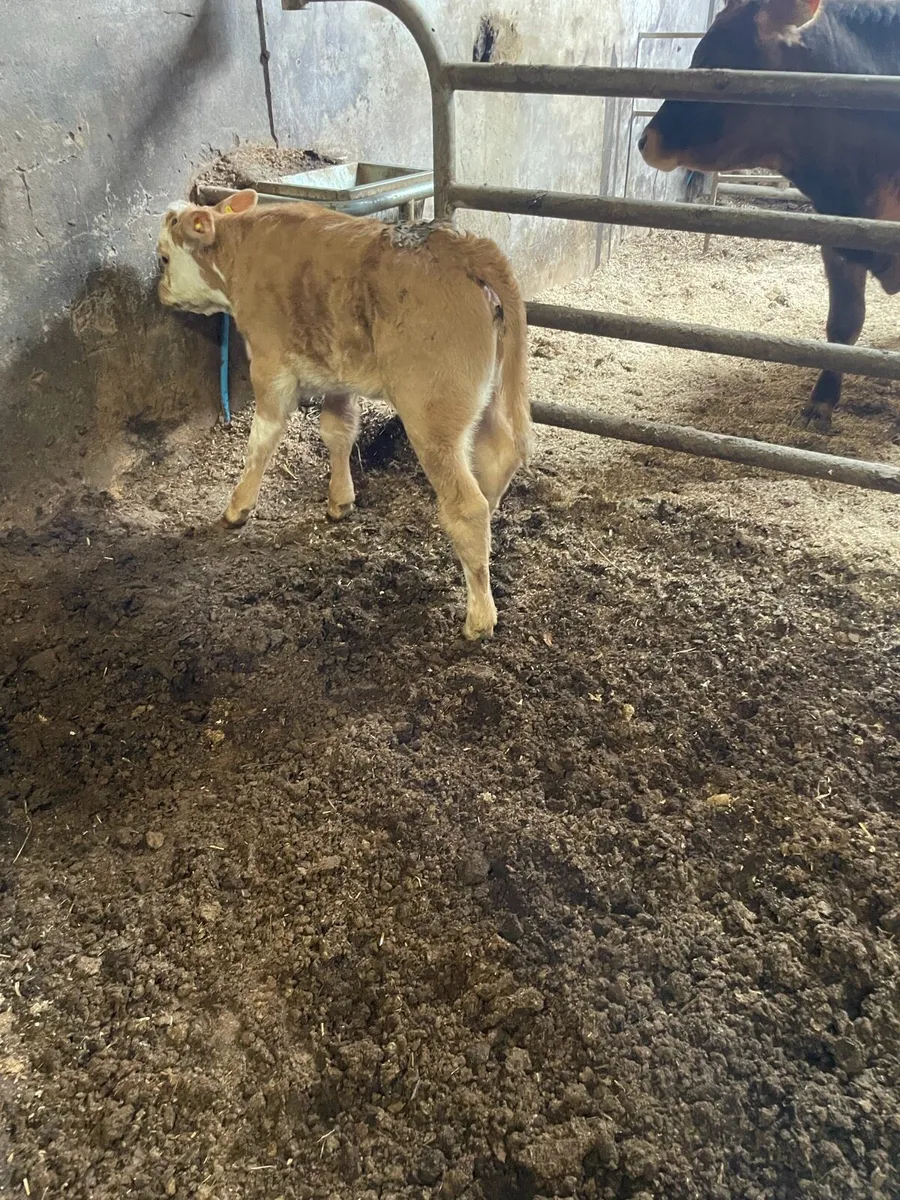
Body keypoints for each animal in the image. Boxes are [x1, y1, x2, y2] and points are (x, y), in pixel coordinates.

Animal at [156, 191, 531, 640]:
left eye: (163, 258)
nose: (158, 291)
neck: (243, 246)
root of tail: (458, 245)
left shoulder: (270, 365)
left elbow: (261, 440)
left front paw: (237, 509)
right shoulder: (334, 373)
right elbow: (337, 430)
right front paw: (340, 500)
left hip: (431, 418)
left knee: (467, 504)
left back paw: (479, 616)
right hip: (487, 399)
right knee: (496, 460)